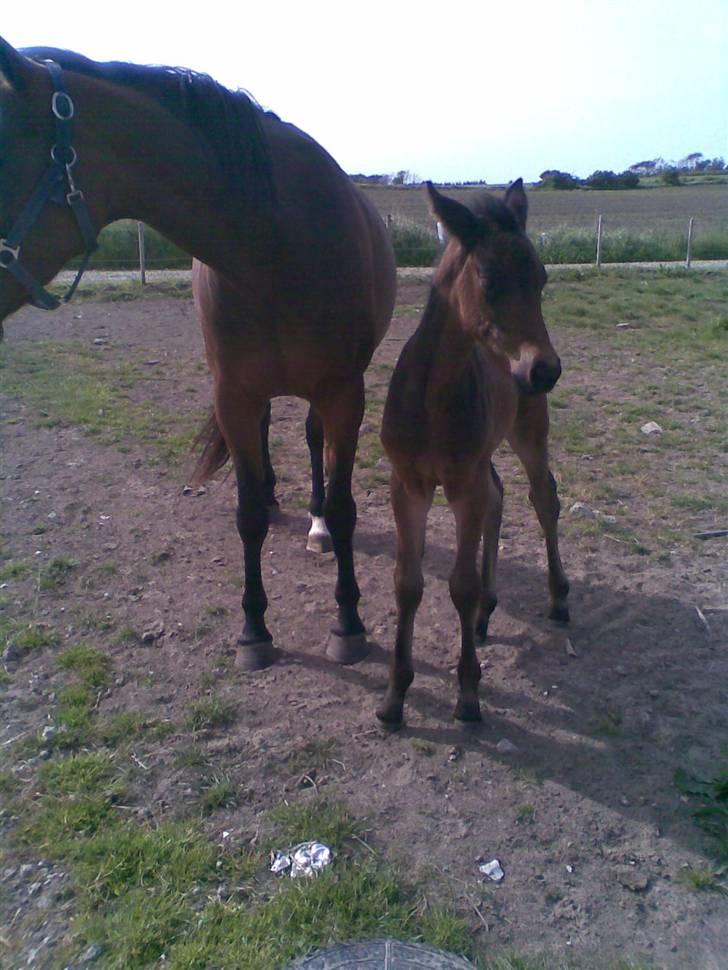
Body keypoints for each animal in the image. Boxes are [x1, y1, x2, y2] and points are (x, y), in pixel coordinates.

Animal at [0, 41, 396, 668]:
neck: (276, 243)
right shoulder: (233, 393)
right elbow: (248, 514)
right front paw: (254, 631)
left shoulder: (343, 392)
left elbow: (342, 506)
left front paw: (348, 622)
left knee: (312, 444)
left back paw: (312, 524)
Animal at [378, 182, 572, 728]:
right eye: (488, 278)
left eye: (542, 276)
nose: (544, 370)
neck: (431, 398)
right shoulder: (408, 485)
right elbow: (407, 582)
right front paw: (395, 695)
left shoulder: (461, 484)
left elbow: (459, 585)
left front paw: (467, 693)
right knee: (499, 498)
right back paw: (487, 611)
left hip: (528, 433)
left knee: (542, 498)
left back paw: (557, 598)